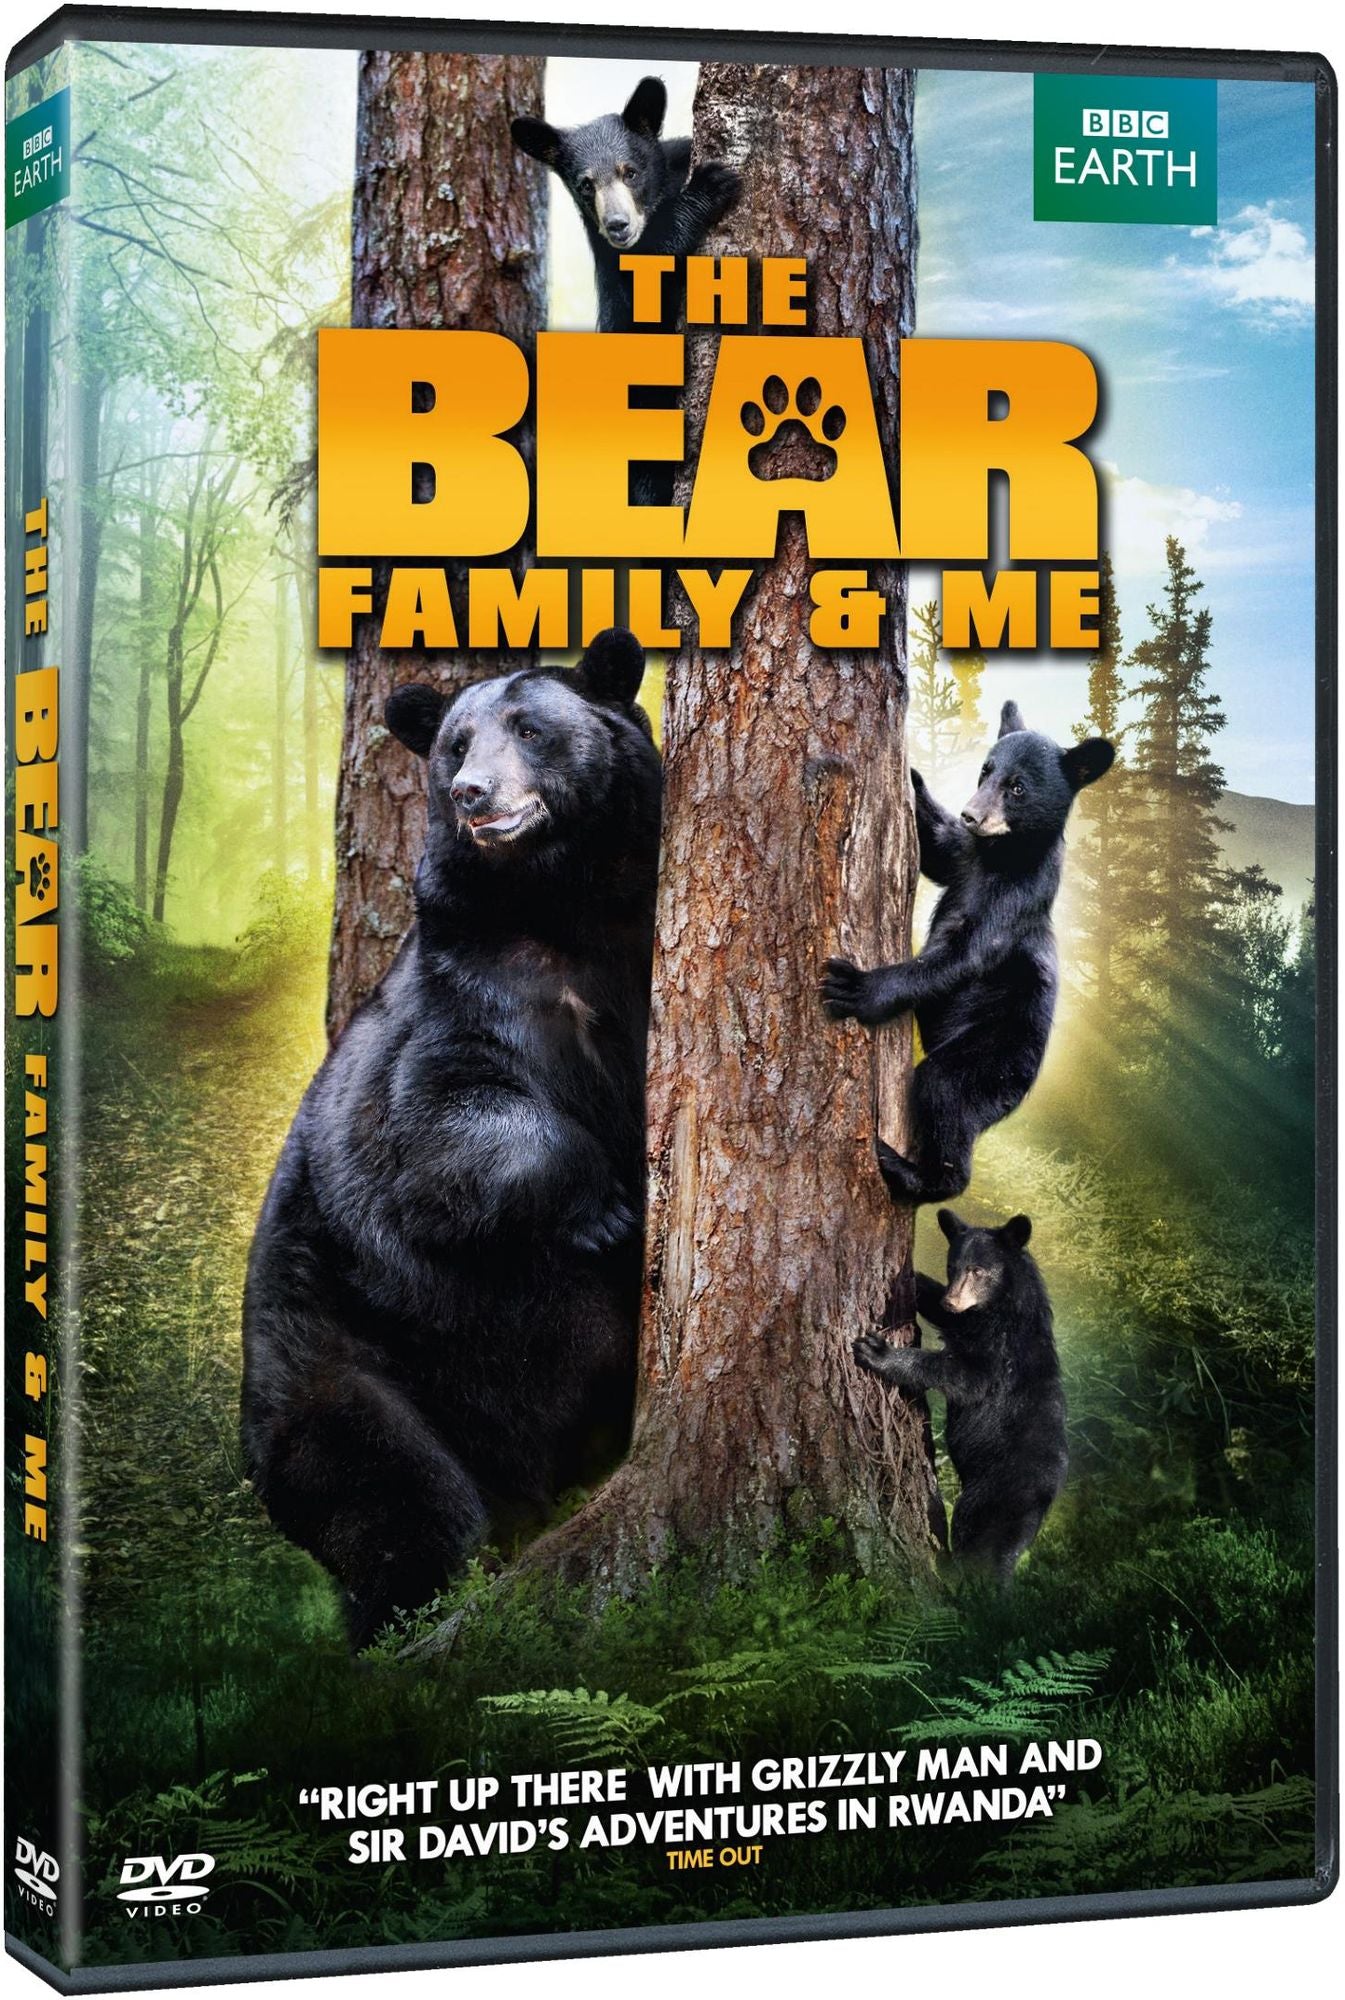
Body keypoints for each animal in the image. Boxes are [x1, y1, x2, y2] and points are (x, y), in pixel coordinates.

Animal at [241, 630, 661, 1649]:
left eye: (530, 729)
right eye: (454, 745)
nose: (474, 793)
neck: (561, 905)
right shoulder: (462, 994)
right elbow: (437, 1127)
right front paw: (603, 1209)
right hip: (346, 1373)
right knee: (406, 1508)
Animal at [821, 703, 1114, 1205]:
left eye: (1017, 787)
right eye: (985, 770)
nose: (971, 814)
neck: (998, 856)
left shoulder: (1014, 900)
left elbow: (961, 955)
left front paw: (858, 988)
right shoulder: (964, 856)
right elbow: (938, 848)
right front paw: (913, 775)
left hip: (995, 1056)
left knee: (945, 1092)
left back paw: (909, 1171)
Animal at [853, 1208, 1067, 1587]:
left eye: (978, 1270)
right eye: (952, 1266)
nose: (951, 1300)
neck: (1004, 1306)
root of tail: (1044, 1500)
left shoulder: (999, 1351)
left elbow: (961, 1375)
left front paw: (878, 1352)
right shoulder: (967, 1321)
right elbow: (943, 1315)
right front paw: (914, 1278)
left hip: (993, 1496)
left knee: (977, 1541)